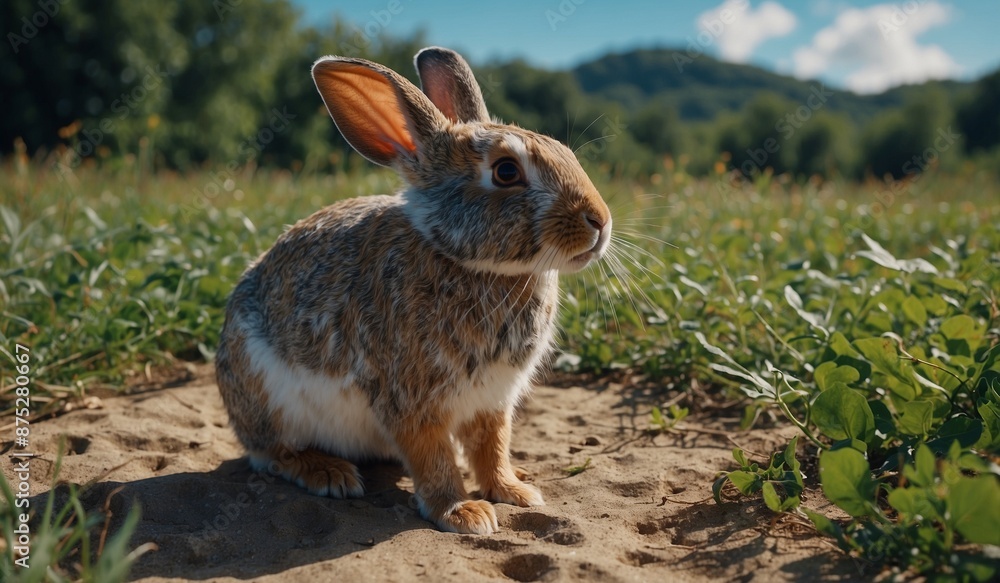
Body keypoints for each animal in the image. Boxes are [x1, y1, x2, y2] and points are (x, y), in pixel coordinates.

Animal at [215, 46, 611, 535]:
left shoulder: (493, 400)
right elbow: (433, 456)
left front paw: (515, 492)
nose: (600, 221)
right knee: (271, 453)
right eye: (505, 171)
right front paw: (464, 514)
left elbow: (492, 447)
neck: (467, 262)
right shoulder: (411, 399)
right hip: (268, 398)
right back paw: (328, 473)